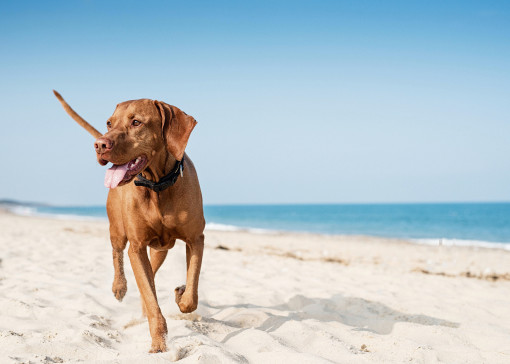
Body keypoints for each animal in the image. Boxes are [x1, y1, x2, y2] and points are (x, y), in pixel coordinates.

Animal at [54, 91, 206, 352]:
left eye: (136, 122)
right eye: (109, 123)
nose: (100, 144)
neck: (157, 186)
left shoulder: (196, 239)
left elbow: (191, 296)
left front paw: (181, 294)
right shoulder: (136, 246)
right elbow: (152, 299)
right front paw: (159, 345)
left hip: (161, 249)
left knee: (152, 273)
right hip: (117, 228)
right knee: (118, 253)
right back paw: (119, 286)